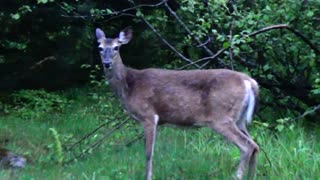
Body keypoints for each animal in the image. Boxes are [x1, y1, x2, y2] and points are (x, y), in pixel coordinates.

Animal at [95, 27, 260, 180]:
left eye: (116, 47)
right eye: (100, 47)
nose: (107, 63)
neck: (129, 86)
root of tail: (249, 82)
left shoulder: (148, 115)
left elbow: (148, 153)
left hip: (221, 117)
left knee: (246, 145)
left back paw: (237, 176)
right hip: (239, 119)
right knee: (255, 145)